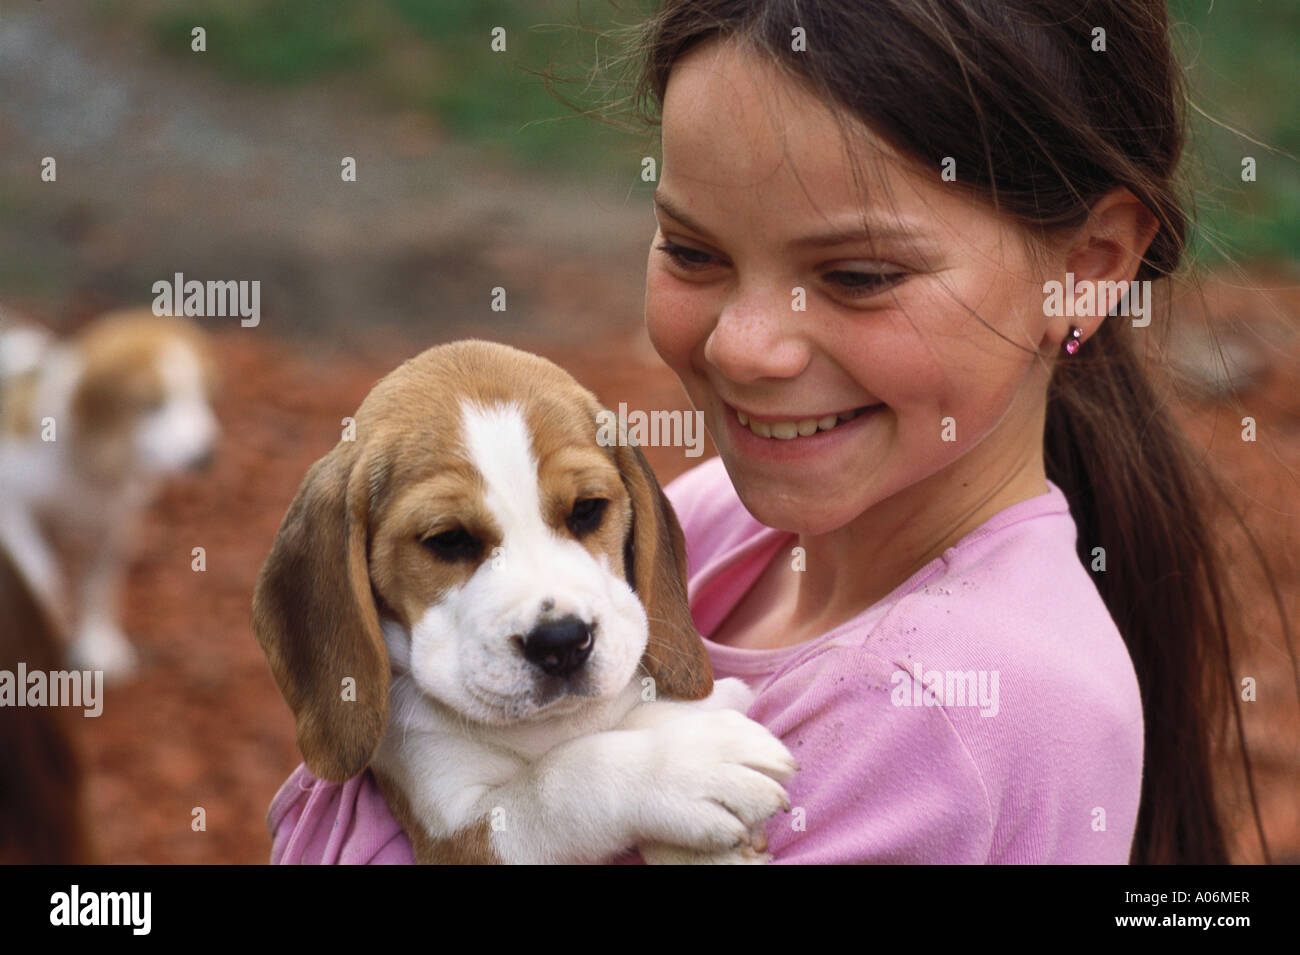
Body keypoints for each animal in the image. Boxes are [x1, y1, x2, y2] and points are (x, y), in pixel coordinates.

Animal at [0, 307, 218, 680]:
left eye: (201, 396)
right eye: (150, 405)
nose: (206, 456)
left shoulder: (115, 522)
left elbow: (99, 586)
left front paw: (96, 642)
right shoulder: (12, 504)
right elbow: (43, 573)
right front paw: (51, 620)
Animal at [249, 340, 795, 862]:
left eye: (587, 509)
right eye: (448, 539)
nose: (563, 642)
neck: (545, 727)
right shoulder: (454, 825)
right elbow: (560, 781)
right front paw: (692, 768)